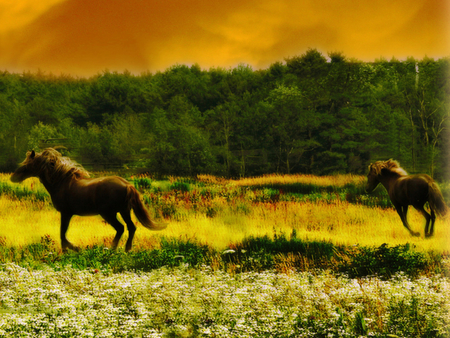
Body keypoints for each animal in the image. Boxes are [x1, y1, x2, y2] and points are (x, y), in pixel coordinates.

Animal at [10, 148, 167, 251]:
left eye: (28, 164)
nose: (13, 177)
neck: (61, 181)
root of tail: (127, 184)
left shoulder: (66, 213)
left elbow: (62, 234)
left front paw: (73, 249)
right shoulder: (67, 214)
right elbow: (62, 235)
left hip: (108, 213)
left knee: (121, 228)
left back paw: (112, 249)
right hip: (124, 211)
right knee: (131, 227)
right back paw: (127, 249)